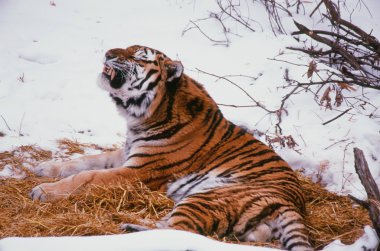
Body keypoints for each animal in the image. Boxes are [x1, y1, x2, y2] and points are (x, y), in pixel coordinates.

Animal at [31, 45, 314, 251]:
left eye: (138, 55)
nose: (108, 54)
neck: (142, 116)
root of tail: (293, 204)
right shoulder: (126, 154)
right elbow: (85, 161)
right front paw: (44, 168)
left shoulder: (138, 171)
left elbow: (86, 177)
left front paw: (42, 191)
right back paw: (132, 224)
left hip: (208, 196)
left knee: (183, 231)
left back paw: (131, 232)